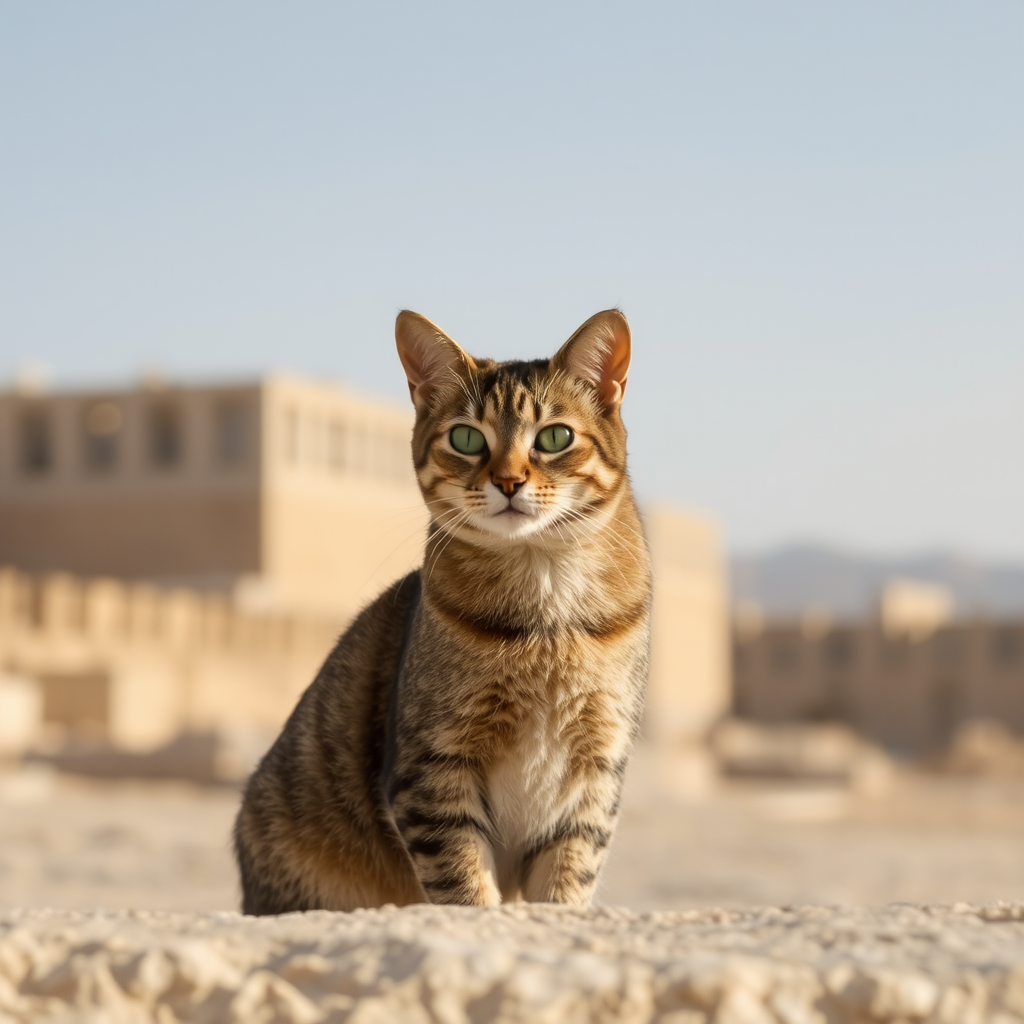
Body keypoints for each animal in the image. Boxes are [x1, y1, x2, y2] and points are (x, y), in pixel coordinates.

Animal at [233, 305, 651, 913]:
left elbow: (565, 885)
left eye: (555, 436)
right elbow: (464, 886)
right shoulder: (432, 771)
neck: (546, 615)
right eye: (466, 438)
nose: (508, 480)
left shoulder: (592, 780)